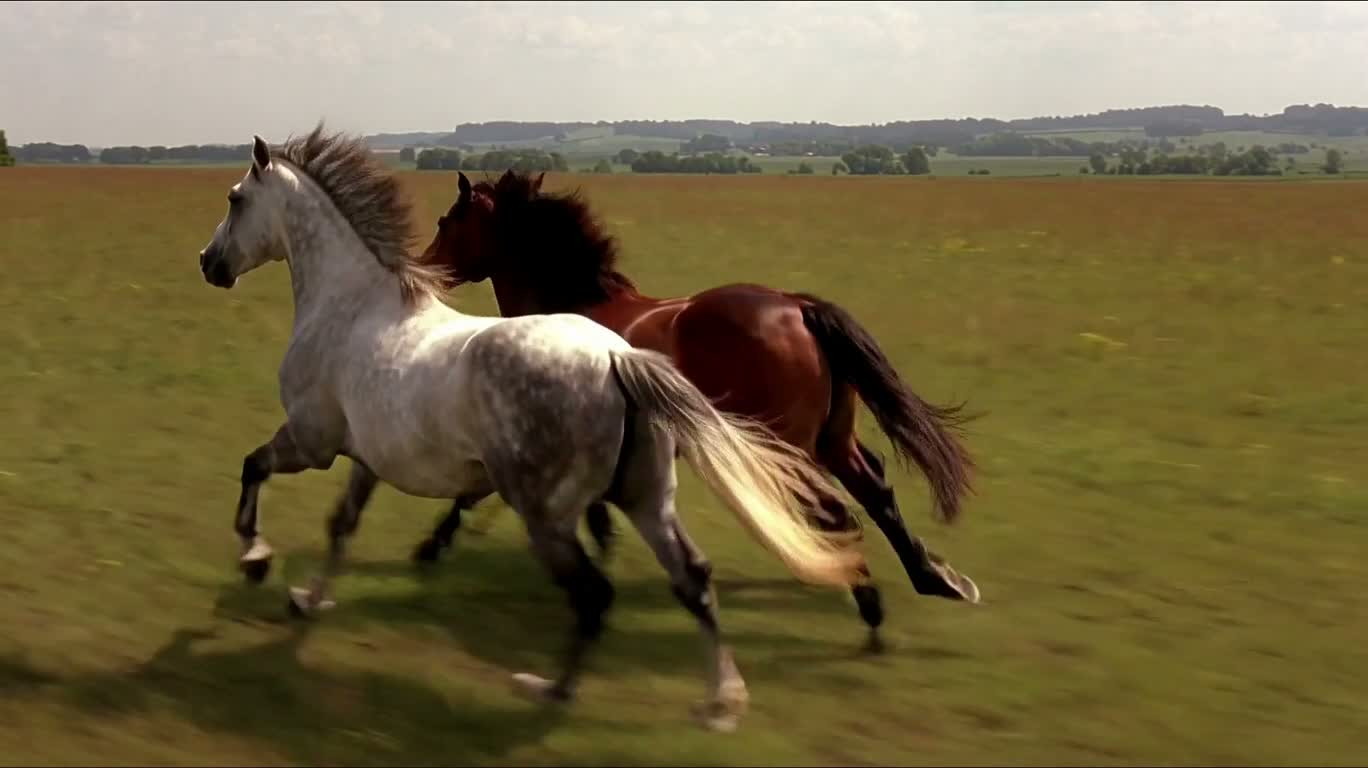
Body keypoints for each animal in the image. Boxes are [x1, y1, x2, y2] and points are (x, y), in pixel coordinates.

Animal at [193, 124, 868, 730]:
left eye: (234, 198)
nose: (208, 263)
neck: (351, 306)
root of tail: (619, 360)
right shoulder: (366, 459)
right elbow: (341, 528)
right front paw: (307, 599)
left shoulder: (312, 440)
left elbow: (254, 468)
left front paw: (256, 558)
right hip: (648, 498)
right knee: (694, 579)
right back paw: (722, 701)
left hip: (546, 511)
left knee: (595, 595)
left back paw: (550, 690)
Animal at [414, 169, 984, 646]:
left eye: (448, 221)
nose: (422, 271)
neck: (566, 308)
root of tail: (799, 307)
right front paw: (602, 540)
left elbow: (473, 490)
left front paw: (431, 546)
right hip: (833, 439)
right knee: (877, 491)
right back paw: (934, 579)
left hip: (786, 444)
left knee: (834, 509)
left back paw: (870, 603)